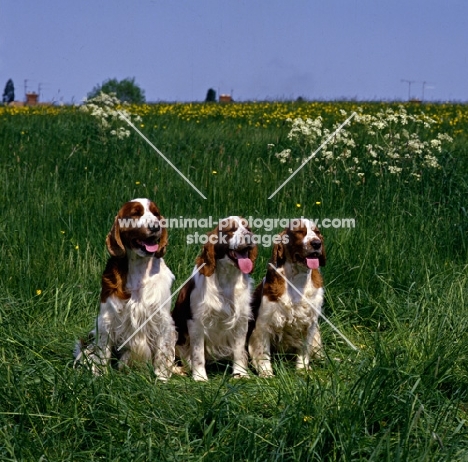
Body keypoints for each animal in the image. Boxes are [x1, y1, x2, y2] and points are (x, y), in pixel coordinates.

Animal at [76, 197, 176, 380]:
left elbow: (162, 350)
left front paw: (161, 378)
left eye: (156, 214)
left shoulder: (162, 318)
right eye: (135, 214)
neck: (139, 269)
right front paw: (100, 375)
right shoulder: (107, 318)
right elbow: (102, 352)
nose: (155, 227)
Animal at [172, 216, 258, 378]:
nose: (249, 236)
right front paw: (200, 377)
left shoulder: (241, 320)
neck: (227, 281)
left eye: (248, 228)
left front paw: (240, 374)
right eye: (231, 229)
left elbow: (239, 350)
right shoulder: (196, 322)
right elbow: (198, 353)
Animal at [249, 219, 326, 376]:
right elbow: (263, 352)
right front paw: (266, 373)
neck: (298, 280)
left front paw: (302, 370)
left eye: (317, 232)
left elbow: (304, 350)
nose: (316, 243)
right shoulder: (263, 324)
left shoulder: (310, 324)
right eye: (299, 232)